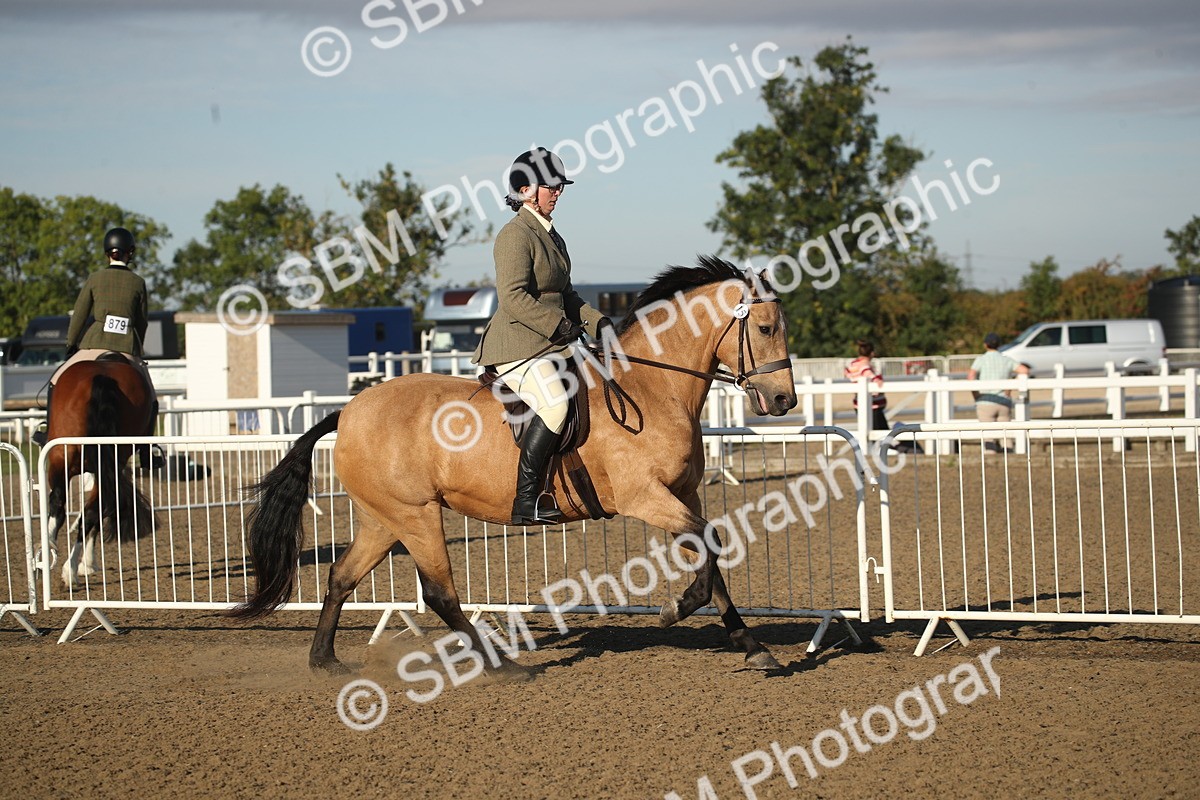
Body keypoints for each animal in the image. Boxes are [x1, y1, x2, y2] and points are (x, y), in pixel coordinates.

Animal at [44, 357, 156, 587]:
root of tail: (103, 375)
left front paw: (86, 564)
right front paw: (86, 563)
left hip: (61, 457)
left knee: (60, 501)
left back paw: (63, 562)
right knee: (92, 509)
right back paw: (67, 563)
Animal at [232, 256, 798, 675]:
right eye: (766, 327)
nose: (784, 400)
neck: (650, 388)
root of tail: (350, 410)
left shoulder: (683, 495)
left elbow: (711, 550)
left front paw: (753, 648)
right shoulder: (645, 497)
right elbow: (709, 543)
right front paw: (673, 610)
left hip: (384, 518)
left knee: (340, 577)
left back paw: (324, 661)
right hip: (416, 515)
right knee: (438, 593)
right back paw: (501, 667)